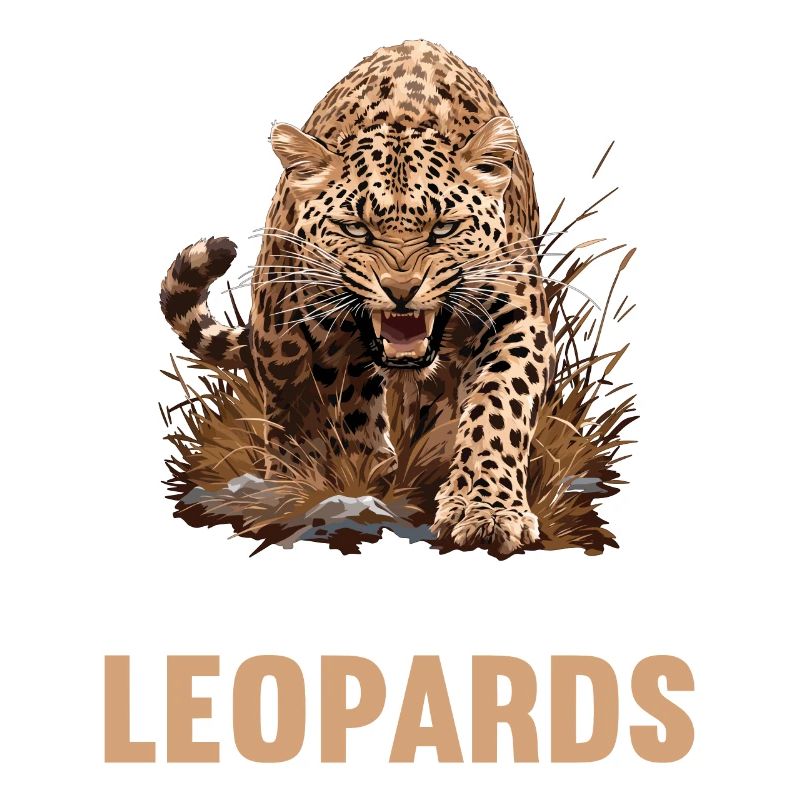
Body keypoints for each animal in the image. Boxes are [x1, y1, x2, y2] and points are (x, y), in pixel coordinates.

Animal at [160, 40, 556, 556]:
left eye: (445, 227)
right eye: (355, 228)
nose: (401, 289)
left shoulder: (514, 317)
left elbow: (497, 407)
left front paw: (486, 510)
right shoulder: (316, 335)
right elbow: (336, 408)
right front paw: (353, 480)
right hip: (277, 323)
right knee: (290, 403)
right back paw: (294, 478)